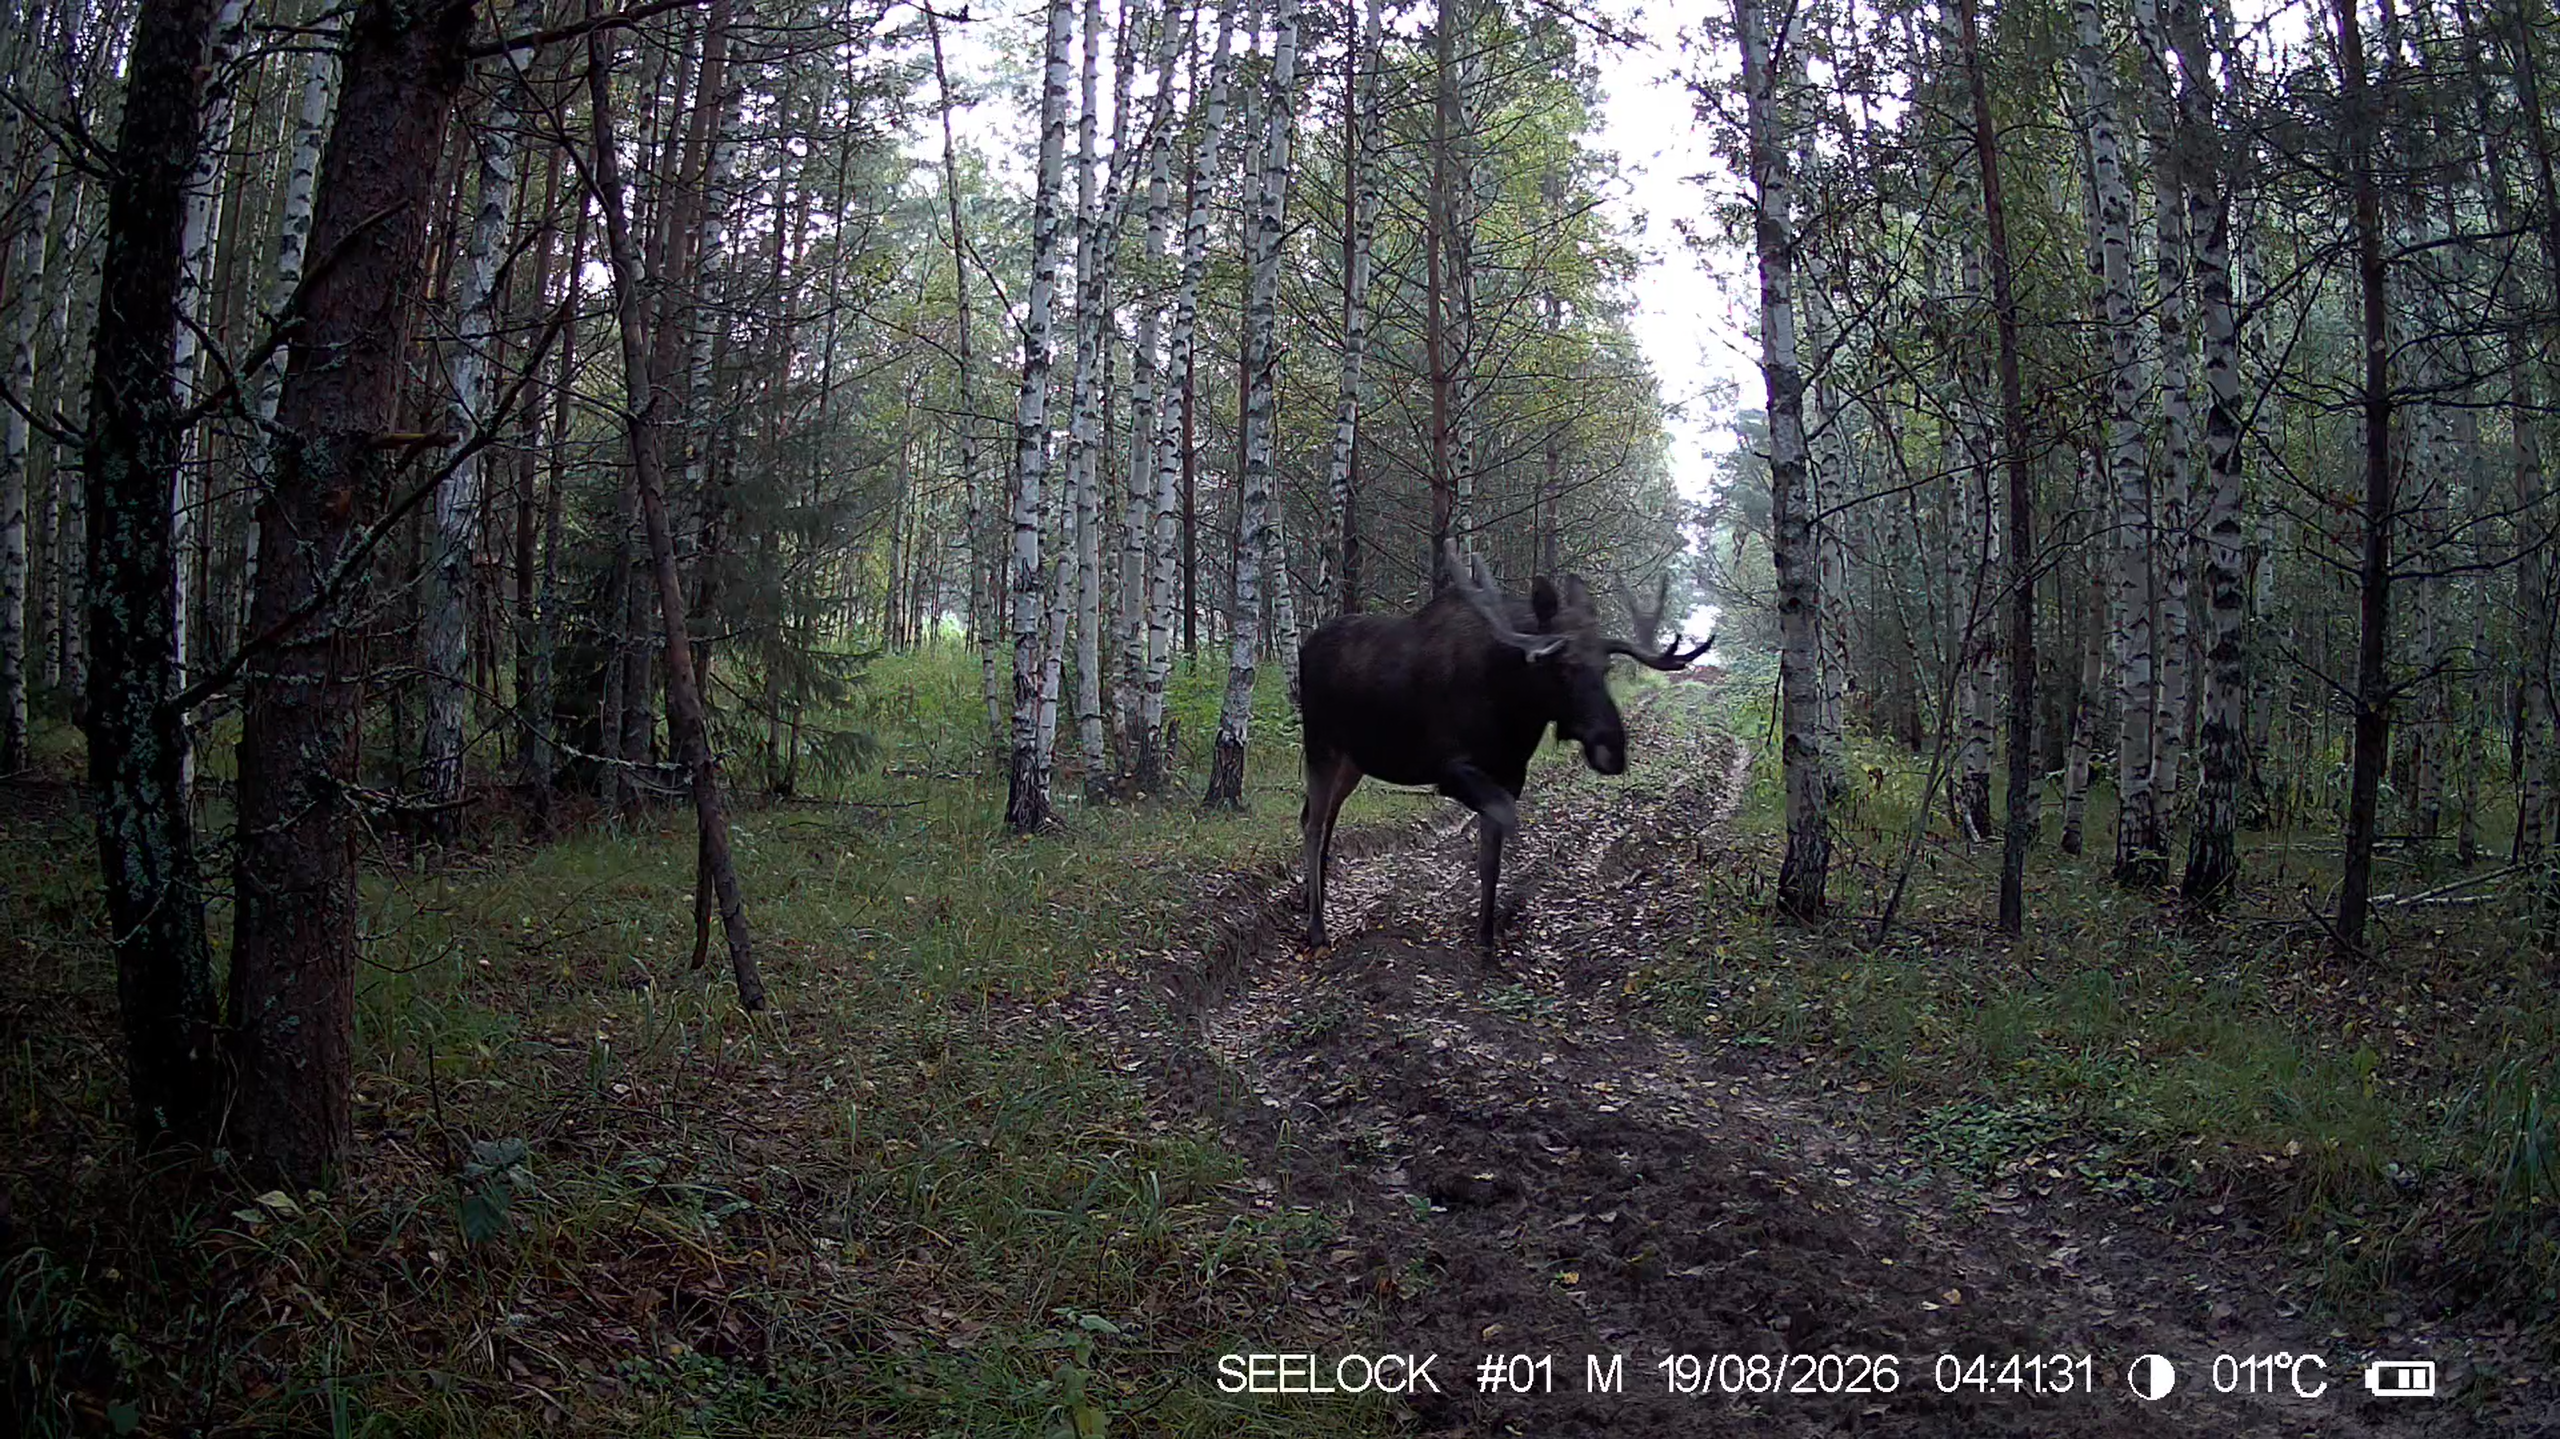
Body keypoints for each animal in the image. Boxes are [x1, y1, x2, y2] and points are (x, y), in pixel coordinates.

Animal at [1298, 540, 1713, 953]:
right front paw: (1510, 907)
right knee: (1313, 824)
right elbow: (1504, 821)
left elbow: (1491, 857)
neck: (1513, 712)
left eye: (1606, 667)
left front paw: (1486, 936)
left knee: (1320, 817)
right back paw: (1317, 928)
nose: (1612, 748)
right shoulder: (1451, 767)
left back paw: (1314, 901)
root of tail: (1304, 647)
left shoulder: (1511, 773)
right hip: (1321, 744)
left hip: (1353, 761)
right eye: (1563, 666)